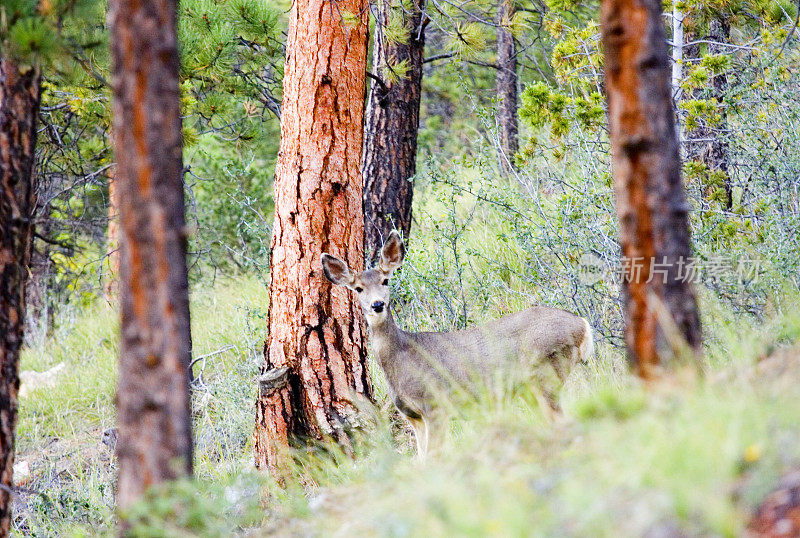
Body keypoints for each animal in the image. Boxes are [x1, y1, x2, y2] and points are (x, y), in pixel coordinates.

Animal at [322, 230, 592, 452]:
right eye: (358, 288)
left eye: (385, 281)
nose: (377, 304)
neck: (402, 358)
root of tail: (583, 325)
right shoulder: (413, 416)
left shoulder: (435, 406)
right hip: (532, 387)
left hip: (548, 374)